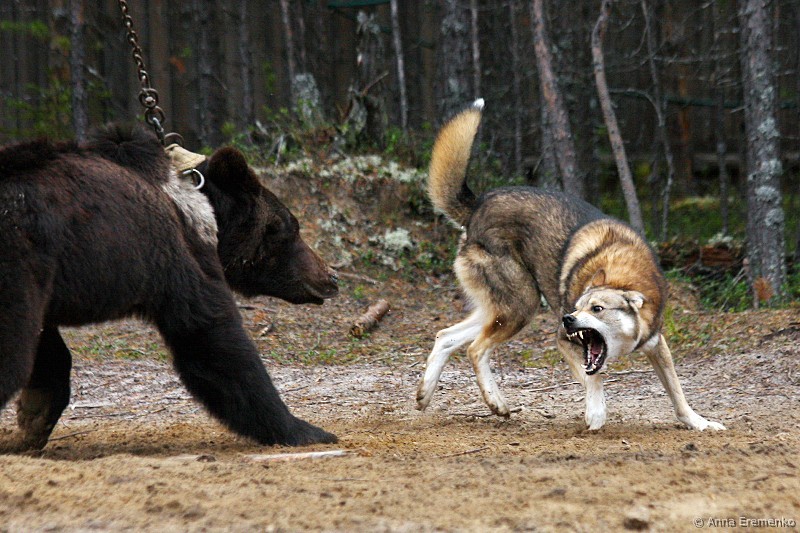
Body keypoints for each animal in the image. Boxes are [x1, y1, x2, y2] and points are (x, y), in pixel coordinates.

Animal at [0, 124, 338, 451]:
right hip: (18, 262)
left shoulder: (50, 289)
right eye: (289, 228)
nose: (330, 276)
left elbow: (48, 350)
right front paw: (305, 430)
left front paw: (32, 420)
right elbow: (212, 336)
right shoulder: (176, 255)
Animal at [416, 100, 725, 431]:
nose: (567, 318)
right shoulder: (564, 341)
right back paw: (496, 403)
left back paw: (424, 395)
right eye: (577, 308)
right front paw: (596, 414)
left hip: (504, 309)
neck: (621, 274)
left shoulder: (657, 344)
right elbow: (595, 378)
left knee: (445, 336)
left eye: (597, 309)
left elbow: (678, 394)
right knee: (475, 349)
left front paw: (700, 423)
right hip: (521, 306)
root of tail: (478, 204)